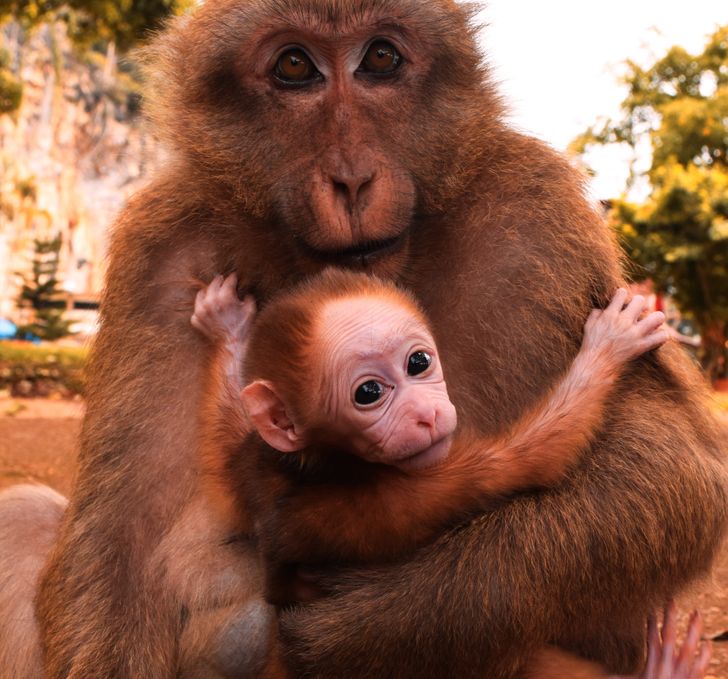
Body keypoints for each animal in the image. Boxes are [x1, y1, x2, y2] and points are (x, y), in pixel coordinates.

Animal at [191, 270, 708, 679]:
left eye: (418, 362)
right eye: (368, 393)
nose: (425, 415)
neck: (322, 461)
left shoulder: (254, 464)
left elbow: (229, 457)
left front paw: (226, 326)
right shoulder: (396, 493)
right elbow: (534, 460)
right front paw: (609, 346)